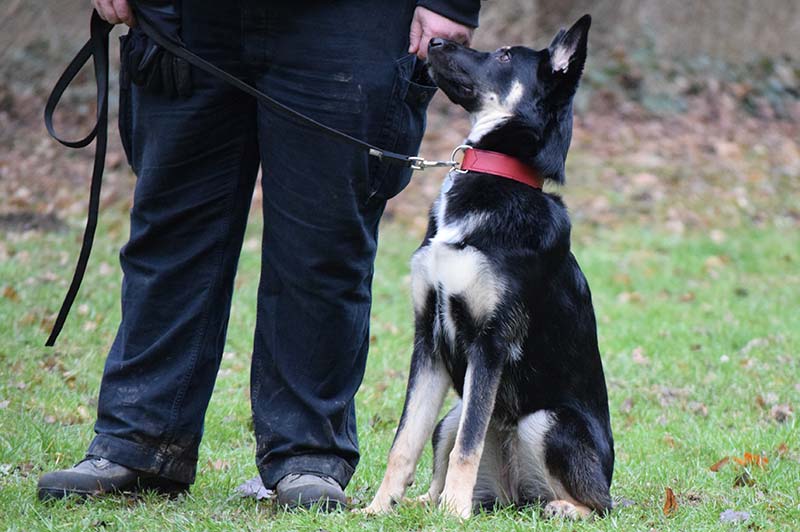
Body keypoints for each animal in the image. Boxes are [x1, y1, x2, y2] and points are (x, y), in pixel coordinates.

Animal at [366, 15, 616, 520]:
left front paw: (453, 517)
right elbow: (404, 441)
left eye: (502, 56)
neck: (495, 175)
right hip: (450, 416)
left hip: (548, 421)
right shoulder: (427, 337)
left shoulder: (491, 342)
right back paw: (427, 502)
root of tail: (513, 496)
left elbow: (469, 445)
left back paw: (557, 508)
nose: (434, 40)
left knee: (602, 503)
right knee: (446, 454)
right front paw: (378, 507)